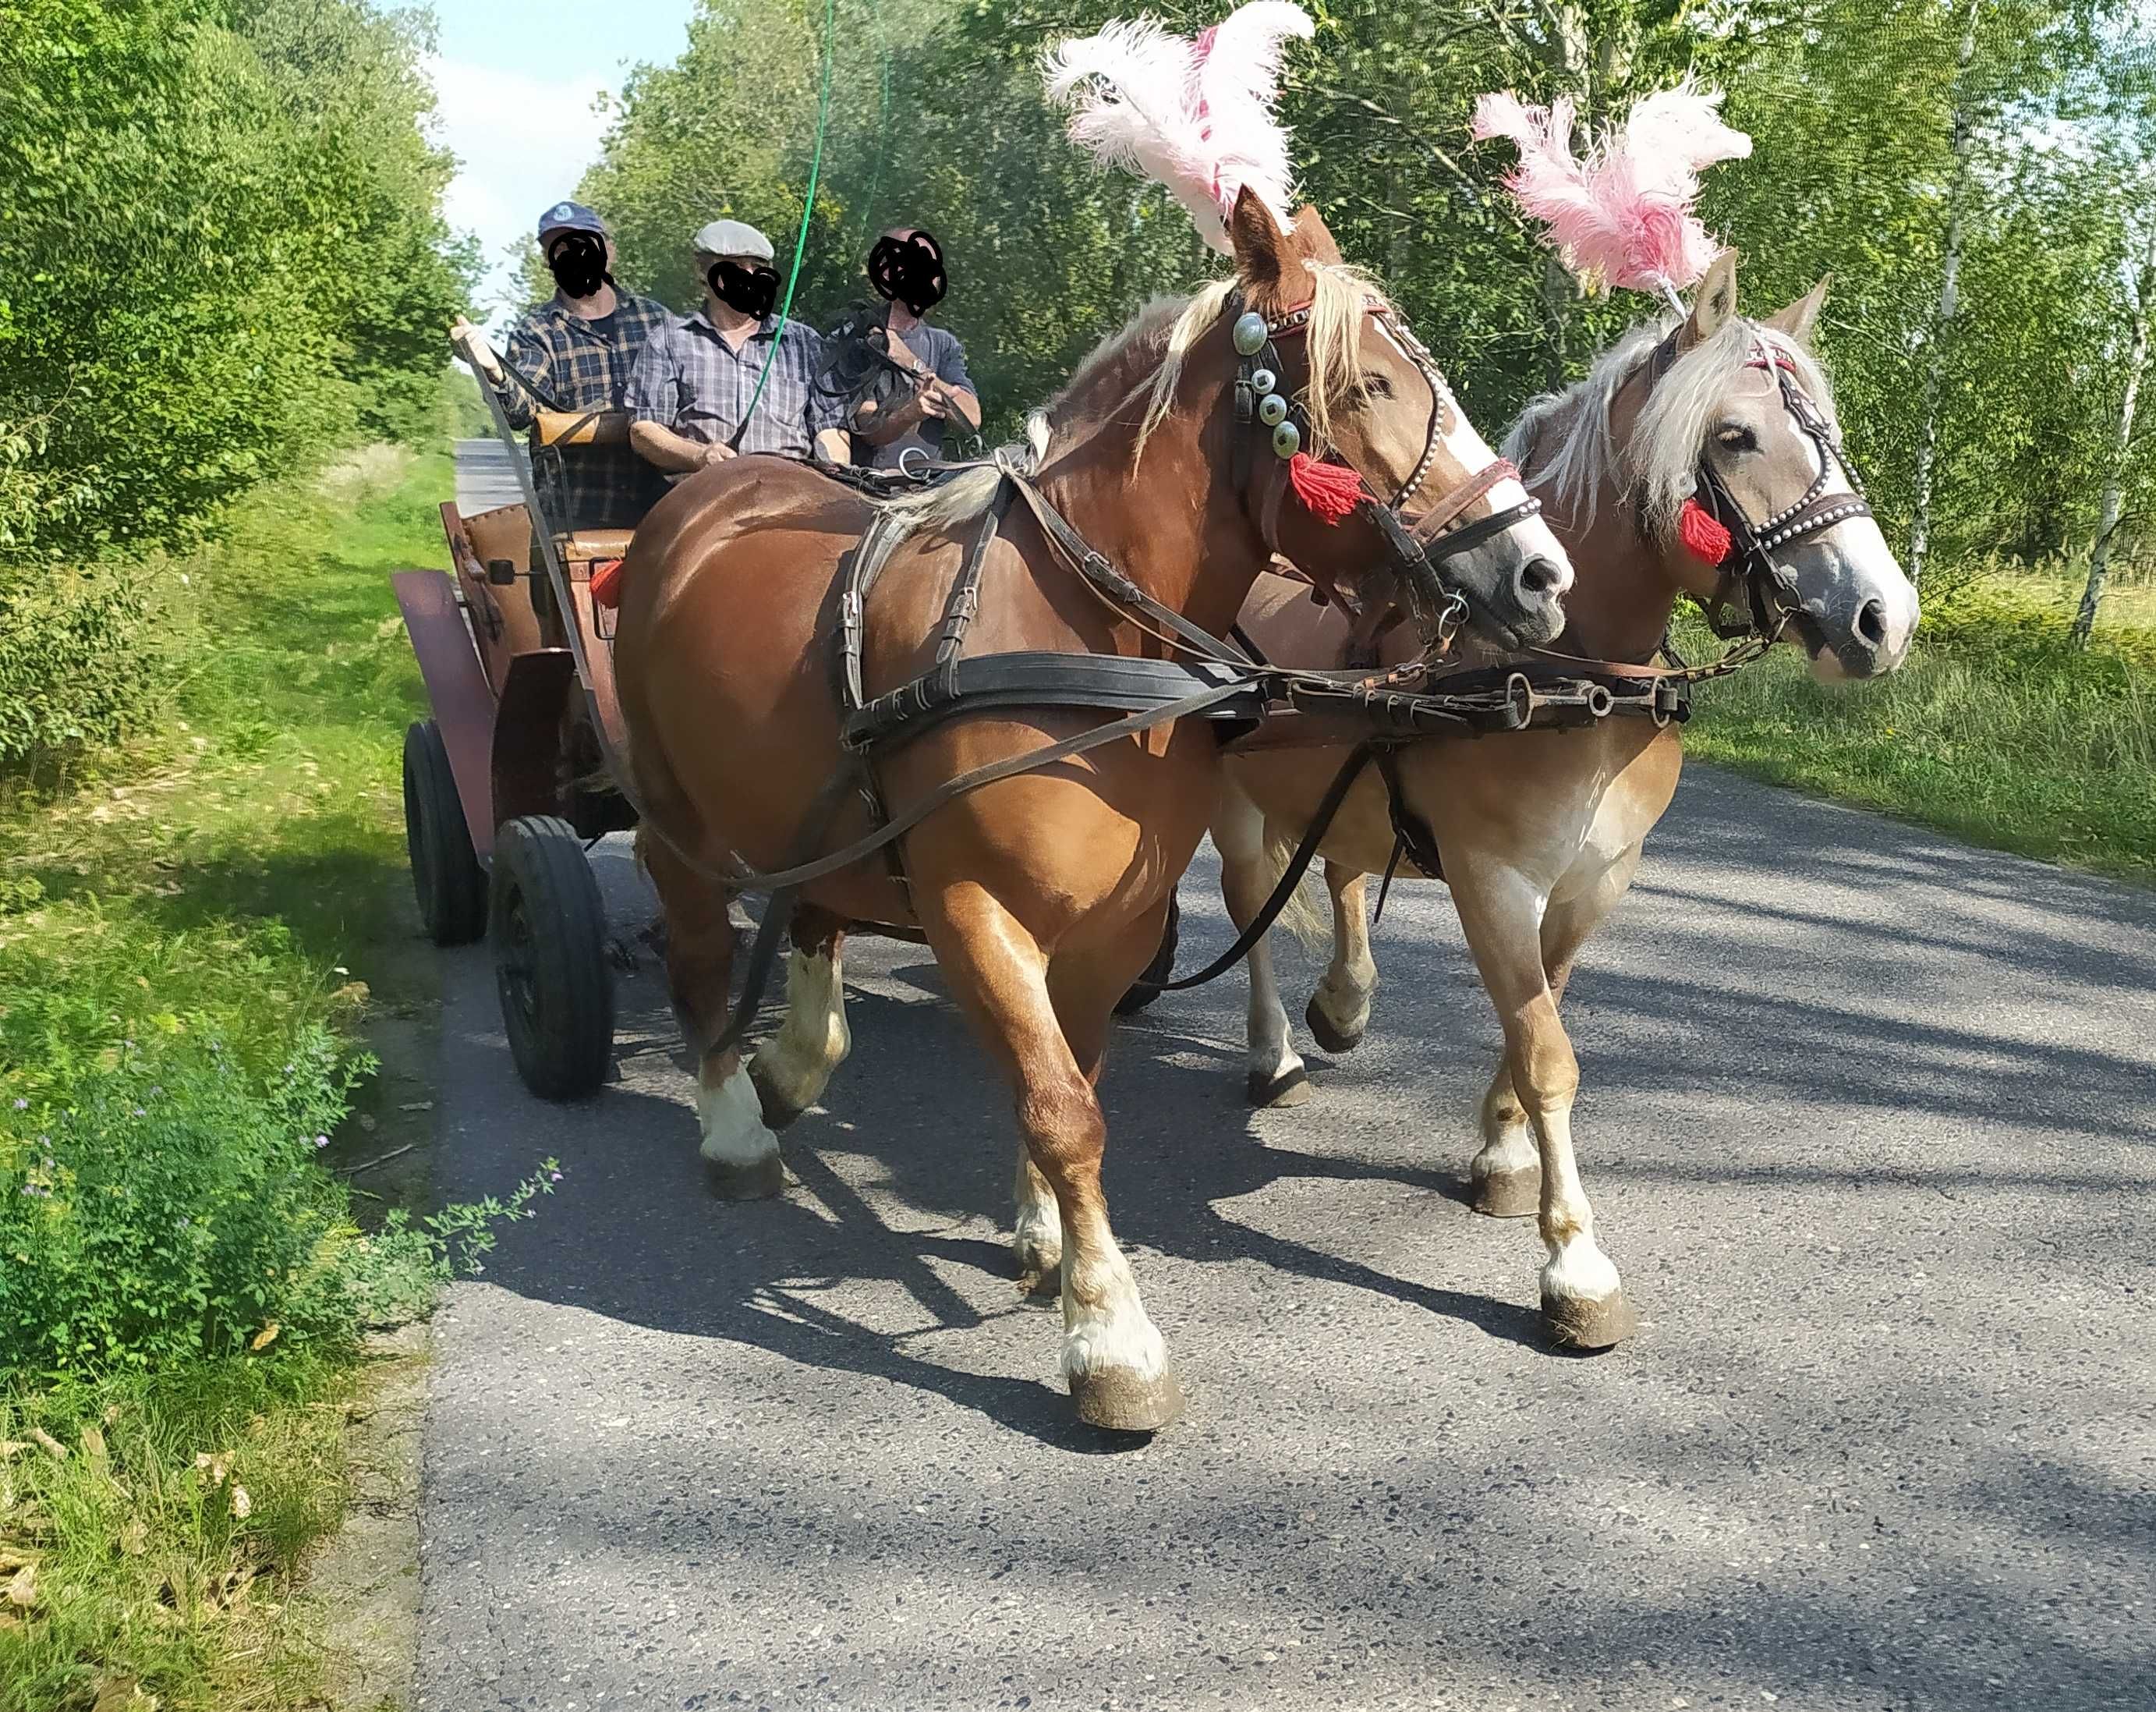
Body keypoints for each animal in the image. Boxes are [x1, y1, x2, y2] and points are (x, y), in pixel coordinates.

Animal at [616, 193, 1577, 1431]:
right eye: (1366, 386)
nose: (1542, 574)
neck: (1083, 632)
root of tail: (712, 490)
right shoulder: (974, 908)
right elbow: (1062, 1107)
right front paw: (1110, 1337)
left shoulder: (1114, 921)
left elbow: (1066, 1076)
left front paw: (1047, 1241)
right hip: (674, 816)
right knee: (694, 947)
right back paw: (734, 1124)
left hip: (815, 812)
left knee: (814, 914)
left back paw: (794, 1061)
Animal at [1216, 253, 1923, 1345]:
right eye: (1735, 435)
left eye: (1828, 432)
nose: (1882, 618)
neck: (1564, 672)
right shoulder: (1493, 879)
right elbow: (1545, 1048)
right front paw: (1574, 1263)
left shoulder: (1595, 880)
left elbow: (1537, 1015)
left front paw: (1502, 1151)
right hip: (1234, 806)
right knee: (1250, 906)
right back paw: (1275, 1054)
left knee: (1341, 874)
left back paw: (1343, 998)